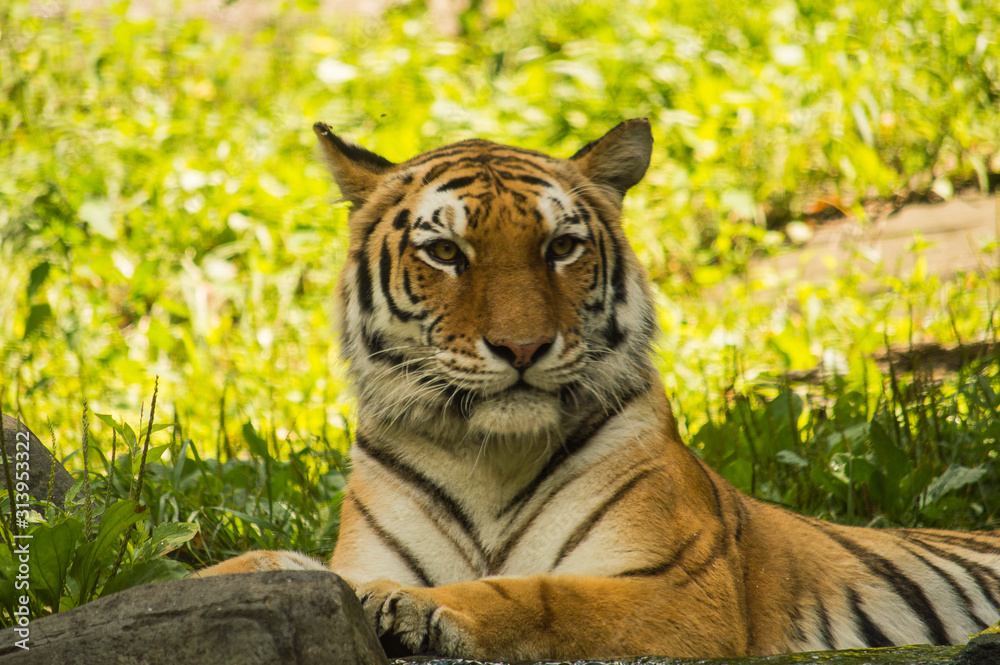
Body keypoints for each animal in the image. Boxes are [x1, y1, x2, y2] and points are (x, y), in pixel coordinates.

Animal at [197, 118, 1000, 661]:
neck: (486, 456)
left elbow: (541, 594)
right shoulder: (358, 555)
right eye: (446, 252)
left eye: (561, 247)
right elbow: (266, 565)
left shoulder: (679, 587)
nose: (521, 347)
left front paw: (412, 608)